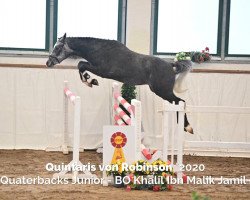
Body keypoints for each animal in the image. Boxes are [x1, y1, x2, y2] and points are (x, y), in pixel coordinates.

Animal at [45, 32, 193, 134]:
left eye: (57, 48)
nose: (48, 63)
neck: (98, 50)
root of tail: (170, 65)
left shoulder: (101, 70)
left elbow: (81, 64)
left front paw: (91, 81)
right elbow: (81, 65)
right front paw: (90, 80)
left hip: (162, 91)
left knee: (181, 101)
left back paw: (188, 127)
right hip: (163, 92)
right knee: (178, 102)